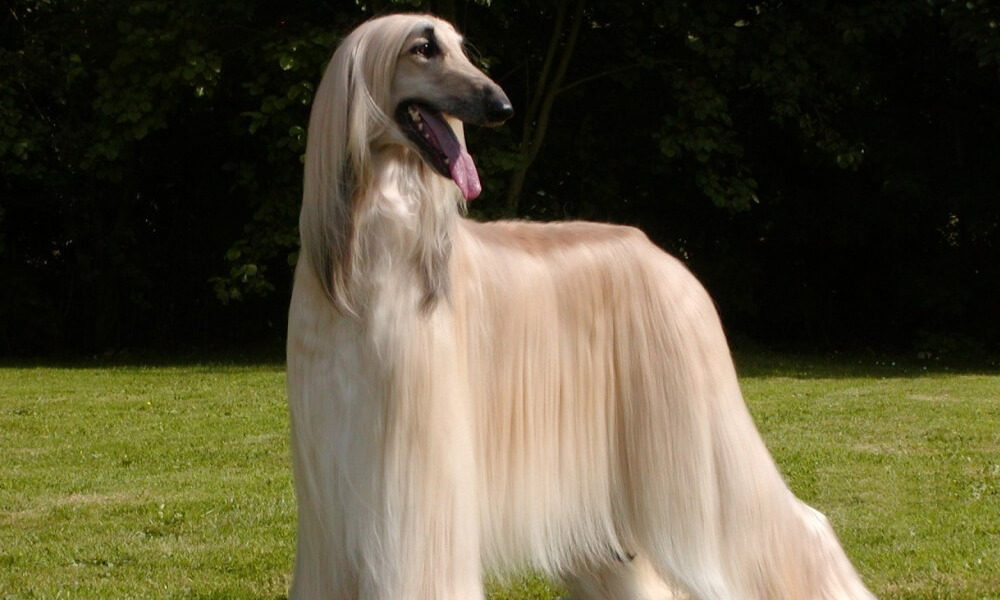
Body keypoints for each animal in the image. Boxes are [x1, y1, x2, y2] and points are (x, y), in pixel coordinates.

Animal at [288, 14, 876, 600]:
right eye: (423, 47)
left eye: (460, 47)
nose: (502, 105)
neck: (372, 247)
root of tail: (665, 256)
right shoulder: (329, 486)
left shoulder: (416, 468)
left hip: (694, 432)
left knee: (789, 524)